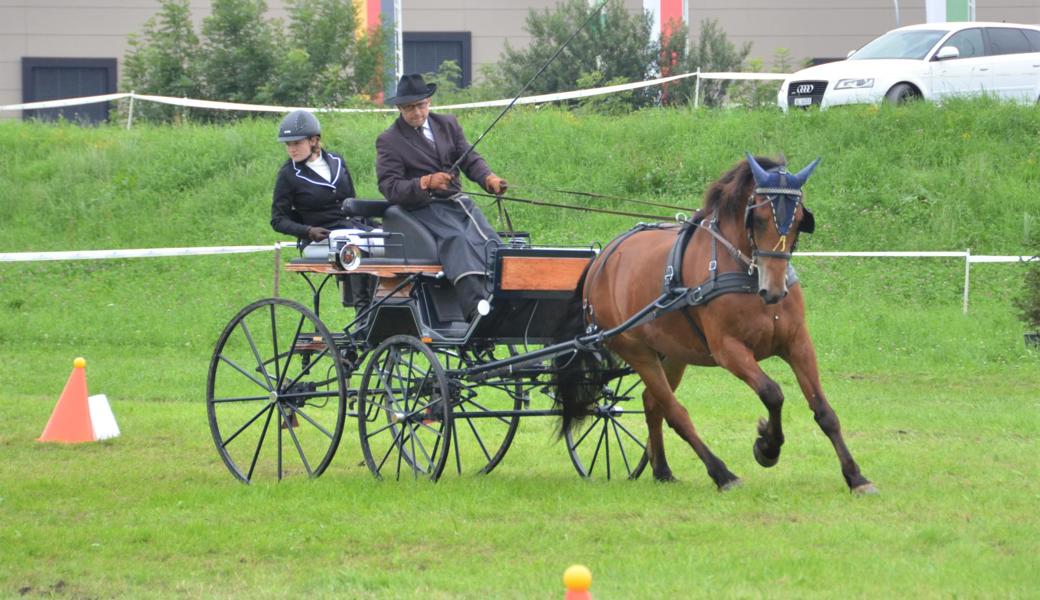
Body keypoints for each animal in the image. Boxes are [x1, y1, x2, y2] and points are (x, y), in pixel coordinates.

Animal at [557, 153, 873, 490]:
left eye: (800, 219)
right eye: (759, 218)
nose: (774, 290)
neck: (747, 275)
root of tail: (600, 261)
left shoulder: (797, 342)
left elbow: (824, 410)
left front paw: (856, 476)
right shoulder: (728, 350)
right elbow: (772, 392)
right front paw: (767, 446)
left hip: (672, 354)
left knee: (652, 403)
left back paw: (662, 470)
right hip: (636, 351)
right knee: (675, 412)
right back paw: (722, 473)